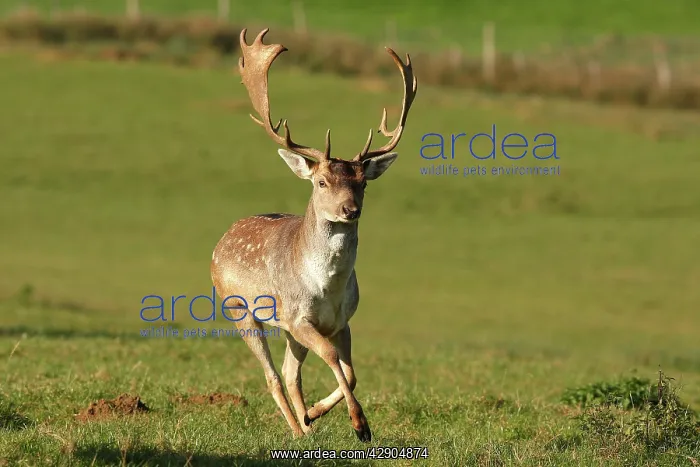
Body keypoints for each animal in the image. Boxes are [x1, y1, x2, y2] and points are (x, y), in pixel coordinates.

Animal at [210, 28, 417, 442]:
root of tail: (224, 236)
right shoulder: (296, 317)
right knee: (273, 376)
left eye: (363, 184)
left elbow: (351, 372)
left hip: (285, 330)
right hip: (239, 308)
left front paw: (323, 413)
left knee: (291, 374)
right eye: (322, 182)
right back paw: (297, 430)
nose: (350, 210)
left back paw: (306, 422)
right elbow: (333, 359)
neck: (326, 287)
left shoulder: (341, 321)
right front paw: (360, 425)